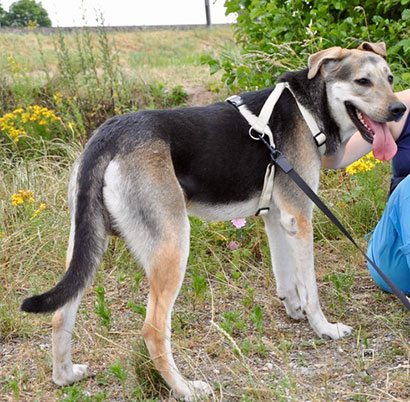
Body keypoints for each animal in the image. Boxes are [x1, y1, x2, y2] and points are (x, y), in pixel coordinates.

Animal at [21, 42, 406, 401]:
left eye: (389, 79)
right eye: (362, 81)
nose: (399, 109)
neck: (308, 108)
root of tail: (107, 135)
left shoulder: (276, 218)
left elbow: (286, 279)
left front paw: (294, 311)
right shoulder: (300, 218)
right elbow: (310, 289)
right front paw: (323, 328)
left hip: (88, 244)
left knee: (61, 312)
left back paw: (65, 375)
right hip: (173, 245)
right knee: (152, 330)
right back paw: (185, 388)